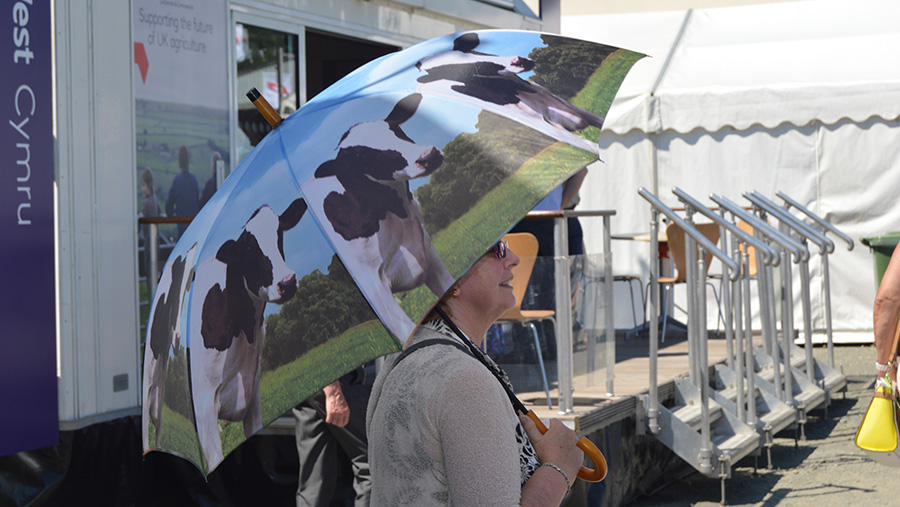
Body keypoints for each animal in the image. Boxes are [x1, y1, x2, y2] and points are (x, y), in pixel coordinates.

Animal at [308, 93, 454, 340]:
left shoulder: (429, 252)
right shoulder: (374, 288)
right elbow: (406, 330)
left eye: (395, 127)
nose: (427, 156)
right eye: (361, 155)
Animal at [414, 32, 604, 154]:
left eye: (471, 51)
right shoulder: (542, 124)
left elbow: (598, 120)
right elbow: (588, 146)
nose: (518, 61)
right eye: (449, 70)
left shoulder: (556, 100)